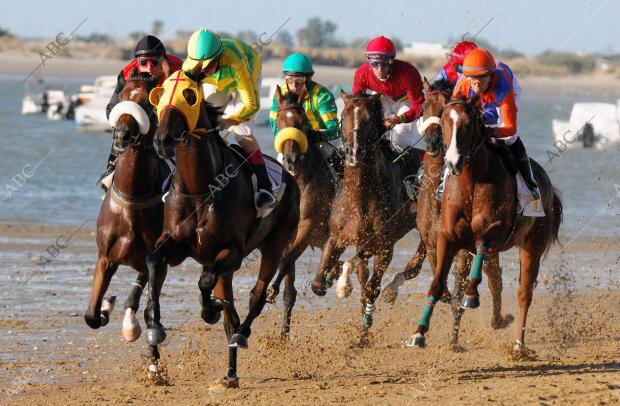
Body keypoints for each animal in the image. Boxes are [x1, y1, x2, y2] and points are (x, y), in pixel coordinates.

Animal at [145, 71, 300, 388]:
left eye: (189, 96)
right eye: (160, 93)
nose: (162, 139)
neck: (201, 189)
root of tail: (291, 178)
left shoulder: (233, 252)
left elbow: (206, 284)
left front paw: (210, 310)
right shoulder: (175, 245)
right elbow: (154, 259)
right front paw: (156, 329)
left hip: (275, 243)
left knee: (256, 296)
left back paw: (241, 334)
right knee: (231, 312)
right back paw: (230, 373)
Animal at [312, 90, 424, 340]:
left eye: (368, 120)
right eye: (343, 116)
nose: (353, 152)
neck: (360, 199)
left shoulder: (384, 247)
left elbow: (371, 288)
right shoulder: (337, 237)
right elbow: (319, 283)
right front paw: (336, 278)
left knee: (416, 263)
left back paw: (392, 289)